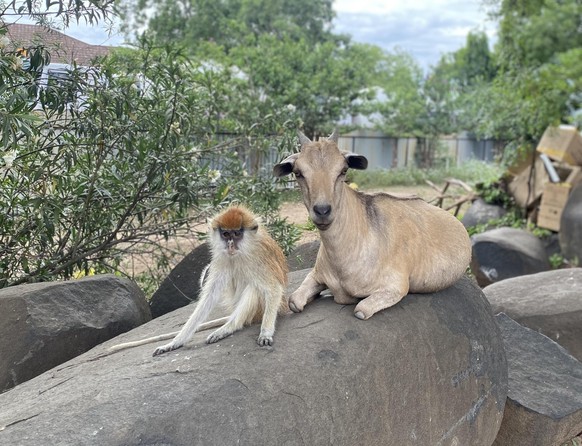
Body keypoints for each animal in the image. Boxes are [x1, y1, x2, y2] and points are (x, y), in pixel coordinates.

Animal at [106, 206, 290, 358]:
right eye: (226, 234)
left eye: (237, 234)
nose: (230, 245)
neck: (243, 250)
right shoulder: (222, 257)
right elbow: (209, 297)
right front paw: (175, 342)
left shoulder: (259, 257)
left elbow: (273, 289)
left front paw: (265, 333)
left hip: (260, 310)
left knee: (254, 288)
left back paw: (231, 326)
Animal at [274, 130, 474, 320]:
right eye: (298, 173)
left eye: (343, 170)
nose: (322, 210)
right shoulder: (316, 274)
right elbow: (294, 301)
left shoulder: (396, 286)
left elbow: (360, 310)